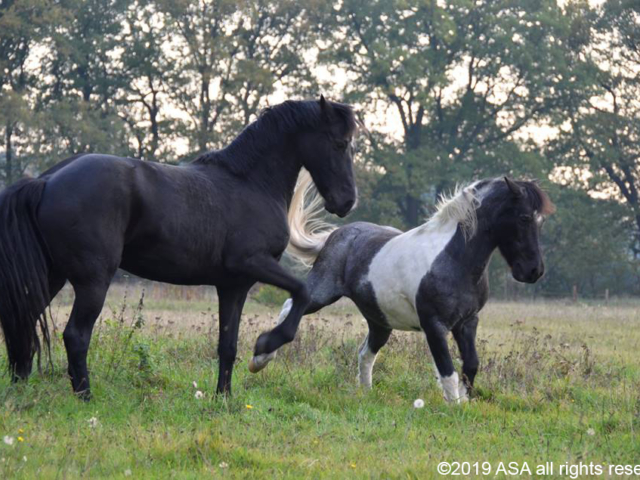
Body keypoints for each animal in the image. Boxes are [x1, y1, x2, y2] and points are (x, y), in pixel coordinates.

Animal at [250, 176, 556, 402]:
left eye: (540, 221)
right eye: (524, 217)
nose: (534, 271)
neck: (454, 259)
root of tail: (339, 234)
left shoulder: (468, 322)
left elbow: (471, 364)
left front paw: (465, 401)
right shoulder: (434, 325)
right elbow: (447, 369)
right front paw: (455, 406)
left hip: (379, 320)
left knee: (365, 353)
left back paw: (366, 394)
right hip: (323, 292)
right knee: (292, 305)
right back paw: (260, 358)